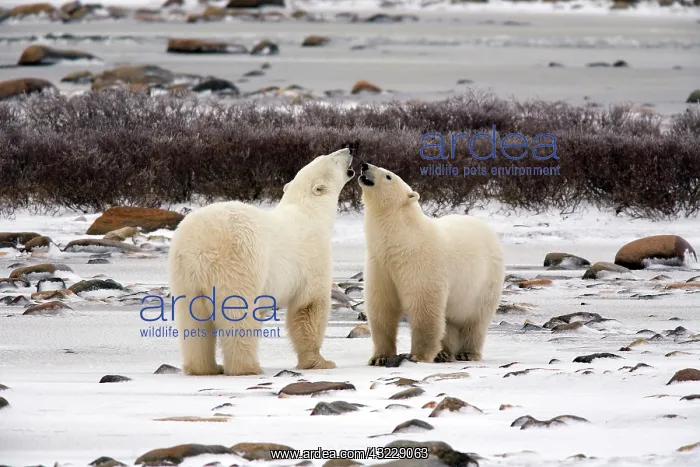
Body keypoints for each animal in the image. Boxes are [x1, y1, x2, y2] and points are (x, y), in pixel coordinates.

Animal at [168, 148, 355, 376]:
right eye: (332, 158)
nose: (349, 149)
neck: (311, 214)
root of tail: (198, 245)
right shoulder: (313, 257)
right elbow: (309, 306)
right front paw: (320, 362)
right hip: (238, 263)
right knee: (238, 315)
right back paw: (247, 367)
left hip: (185, 275)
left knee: (193, 319)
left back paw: (205, 367)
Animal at [358, 163, 505, 365]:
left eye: (388, 176)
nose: (364, 166)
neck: (401, 242)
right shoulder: (380, 264)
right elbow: (381, 307)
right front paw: (379, 358)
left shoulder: (420, 263)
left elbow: (424, 308)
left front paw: (417, 356)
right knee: (450, 320)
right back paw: (445, 353)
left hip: (485, 282)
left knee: (476, 319)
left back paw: (467, 353)